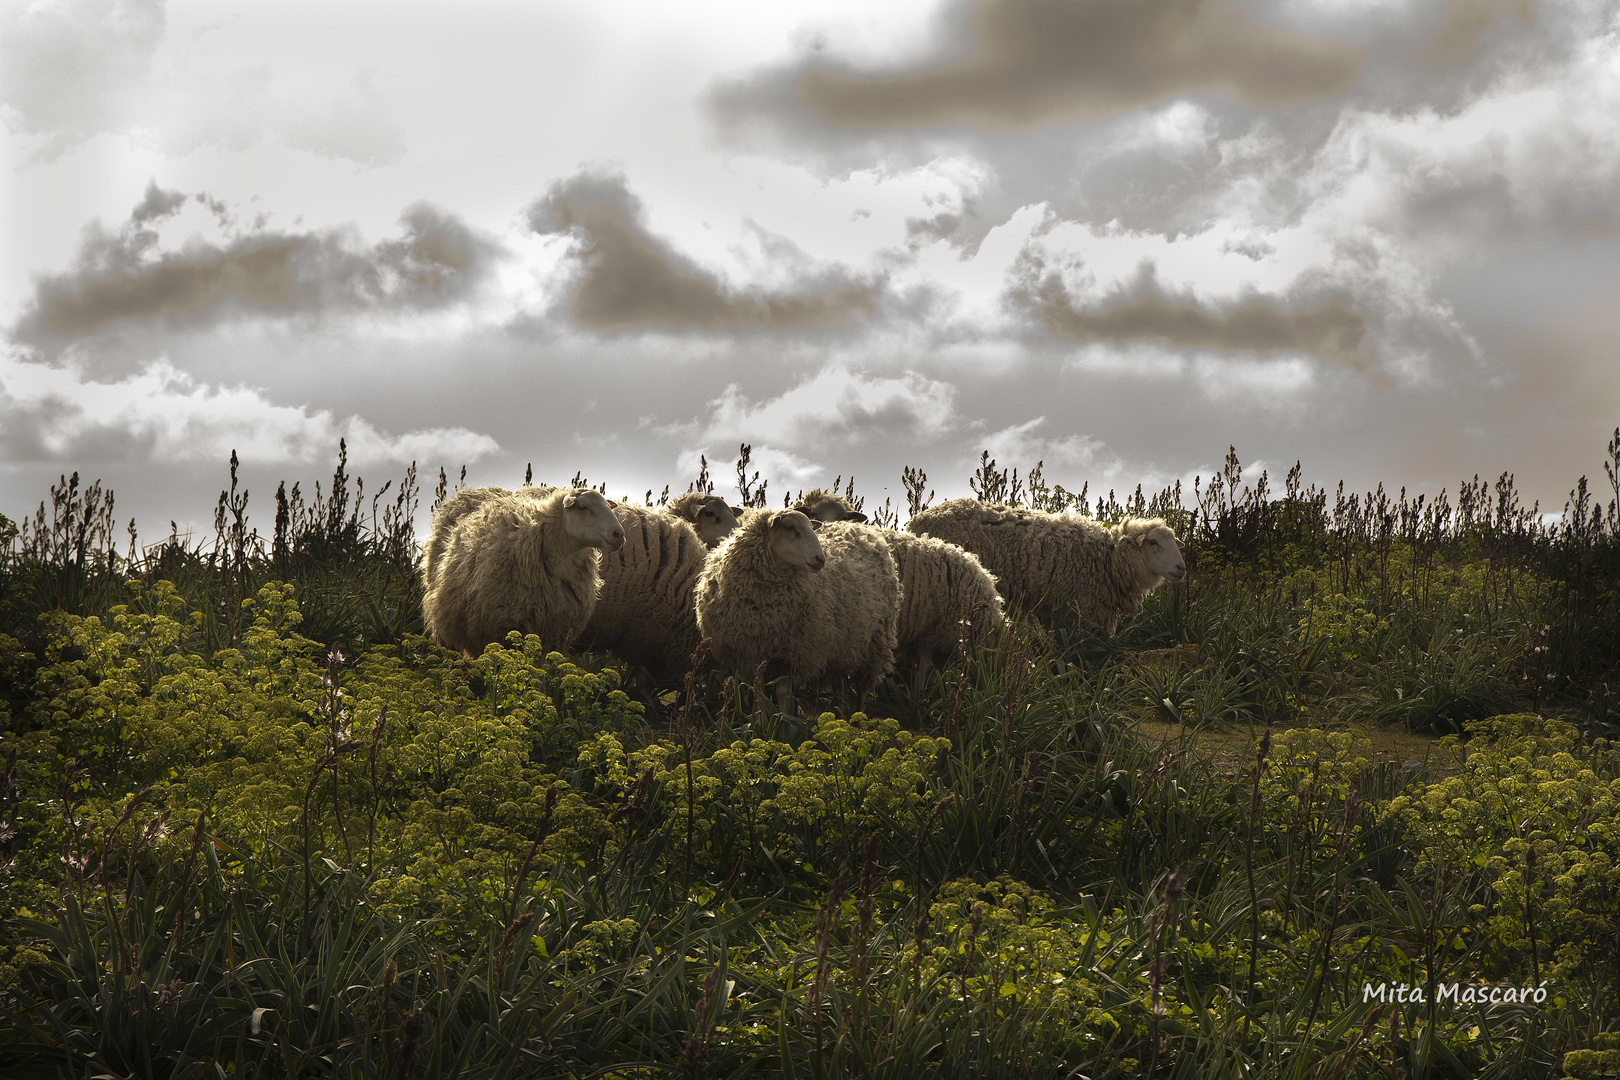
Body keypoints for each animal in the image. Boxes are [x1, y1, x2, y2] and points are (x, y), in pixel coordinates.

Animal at [693, 514, 907, 712]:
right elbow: (758, 691)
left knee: (862, 686)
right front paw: (758, 722)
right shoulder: (752, 654)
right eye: (789, 527)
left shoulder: (791, 654)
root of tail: (859, 529)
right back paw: (841, 714)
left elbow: (781, 693)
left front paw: (781, 720)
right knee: (838, 682)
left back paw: (859, 717)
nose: (820, 559)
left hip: (874, 643)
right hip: (842, 645)